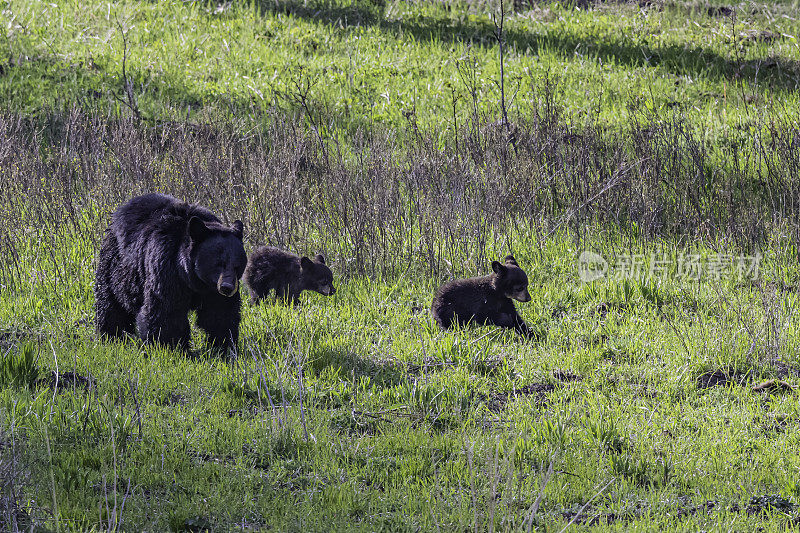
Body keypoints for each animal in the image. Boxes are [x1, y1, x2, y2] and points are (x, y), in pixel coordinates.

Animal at [94, 192, 245, 354]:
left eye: (237, 266)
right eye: (218, 264)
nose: (227, 287)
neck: (194, 280)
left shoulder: (213, 291)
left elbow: (220, 314)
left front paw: (224, 348)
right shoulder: (167, 269)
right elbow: (166, 311)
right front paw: (170, 348)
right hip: (116, 265)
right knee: (110, 302)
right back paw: (111, 336)